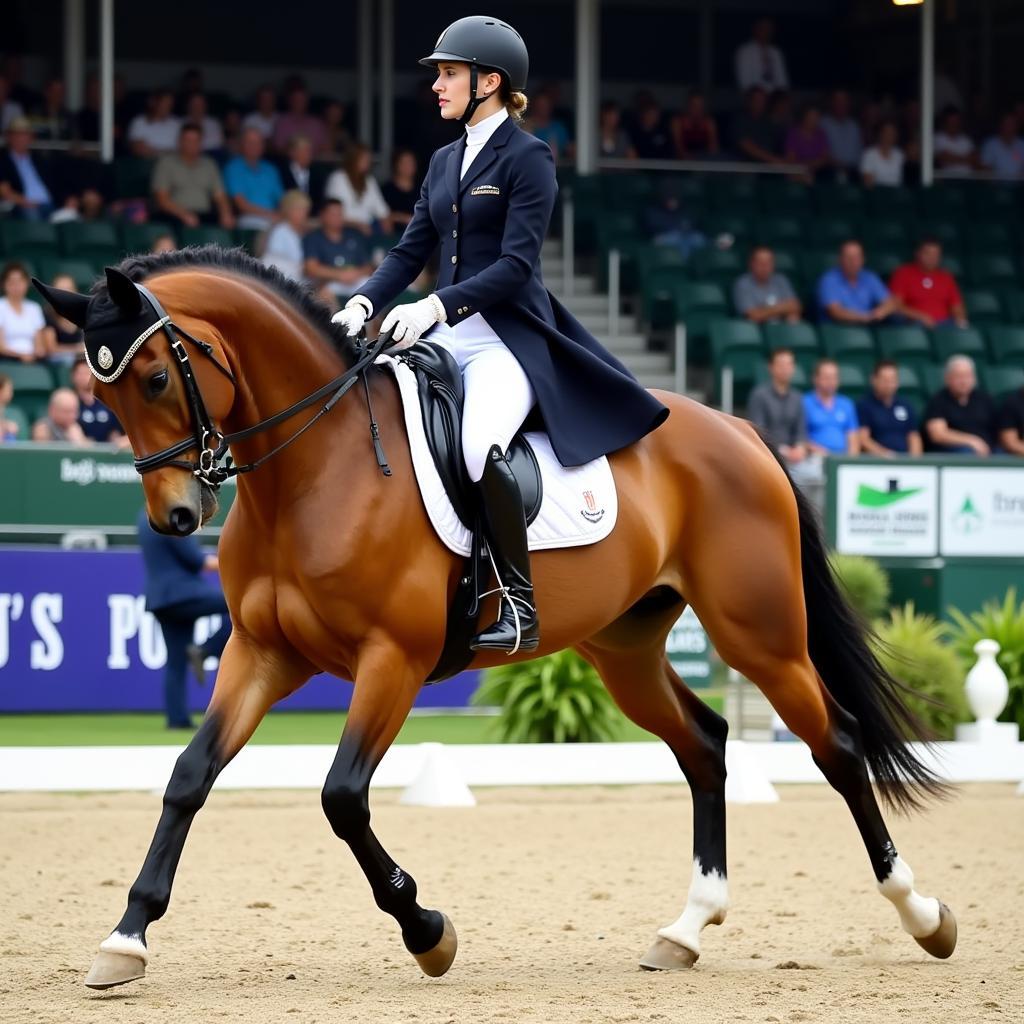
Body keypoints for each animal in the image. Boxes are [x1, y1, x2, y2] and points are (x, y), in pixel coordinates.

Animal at [36, 243, 954, 987]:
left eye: (157, 378)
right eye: (101, 399)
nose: (176, 517)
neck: (316, 467)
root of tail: (736, 426)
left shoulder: (394, 660)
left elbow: (342, 798)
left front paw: (427, 931)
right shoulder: (261, 654)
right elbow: (188, 777)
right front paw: (125, 940)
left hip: (759, 634)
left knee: (837, 745)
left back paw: (922, 915)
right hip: (626, 649)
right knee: (704, 743)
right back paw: (686, 931)